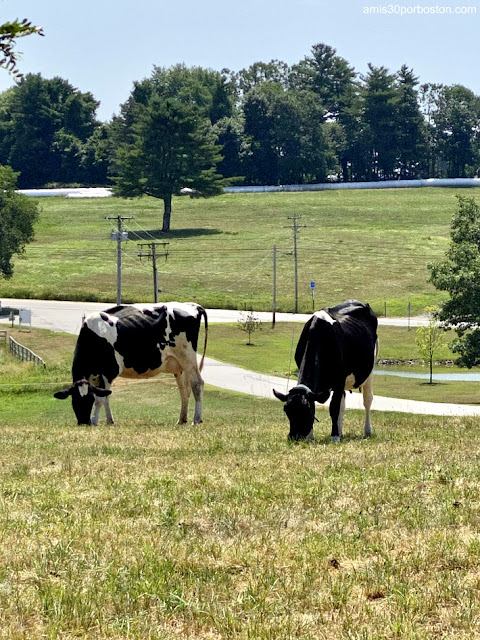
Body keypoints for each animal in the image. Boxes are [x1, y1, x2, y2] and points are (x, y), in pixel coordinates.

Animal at [54, 302, 208, 428]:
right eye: (74, 400)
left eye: (88, 400)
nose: (83, 422)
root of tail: (192, 305)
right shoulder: (97, 377)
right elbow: (106, 397)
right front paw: (109, 421)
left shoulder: (109, 371)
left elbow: (101, 399)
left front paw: (95, 421)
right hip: (179, 366)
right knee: (184, 390)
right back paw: (182, 419)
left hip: (188, 358)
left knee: (196, 384)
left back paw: (196, 419)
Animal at [274, 298, 378, 440]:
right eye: (286, 410)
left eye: (307, 410)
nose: (294, 437)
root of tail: (356, 302)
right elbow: (334, 406)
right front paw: (311, 436)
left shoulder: (339, 380)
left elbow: (334, 407)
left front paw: (334, 437)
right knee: (343, 404)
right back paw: (340, 431)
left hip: (370, 370)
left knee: (367, 400)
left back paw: (367, 431)